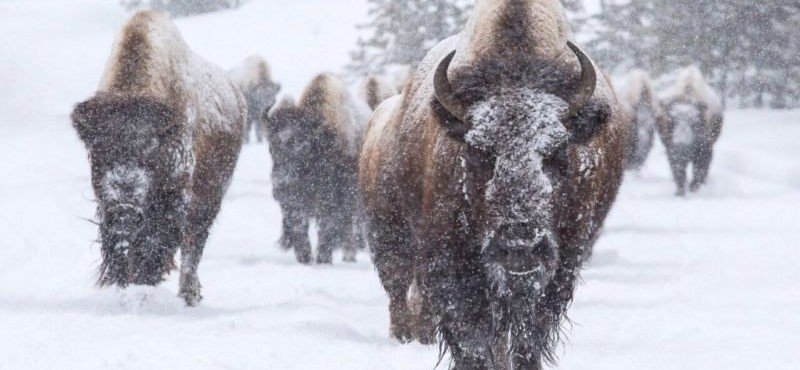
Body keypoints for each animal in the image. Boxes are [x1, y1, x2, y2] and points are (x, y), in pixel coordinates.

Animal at [72, 12, 247, 306]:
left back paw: (189, 294)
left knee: (192, 248)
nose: (125, 210)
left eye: (151, 151)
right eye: (100, 150)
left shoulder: (175, 199)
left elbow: (159, 245)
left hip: (209, 202)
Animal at [266, 73, 372, 264]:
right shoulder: (293, 204)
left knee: (349, 225)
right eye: (271, 148)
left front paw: (323, 258)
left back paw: (349, 254)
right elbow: (300, 227)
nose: (280, 185)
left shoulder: (333, 199)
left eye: (303, 147)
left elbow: (328, 226)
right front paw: (305, 257)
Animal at [360, 0, 628, 368]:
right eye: (479, 150)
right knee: (399, 292)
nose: (519, 243)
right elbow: (471, 340)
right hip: (389, 238)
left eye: (557, 150)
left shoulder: (557, 272)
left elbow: (528, 338)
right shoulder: (452, 270)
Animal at [660, 66, 720, 197]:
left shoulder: (705, 150)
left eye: (694, 122)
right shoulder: (672, 151)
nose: (681, 145)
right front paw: (680, 191)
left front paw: (694, 189)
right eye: (671, 119)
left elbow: (699, 170)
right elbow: (678, 171)